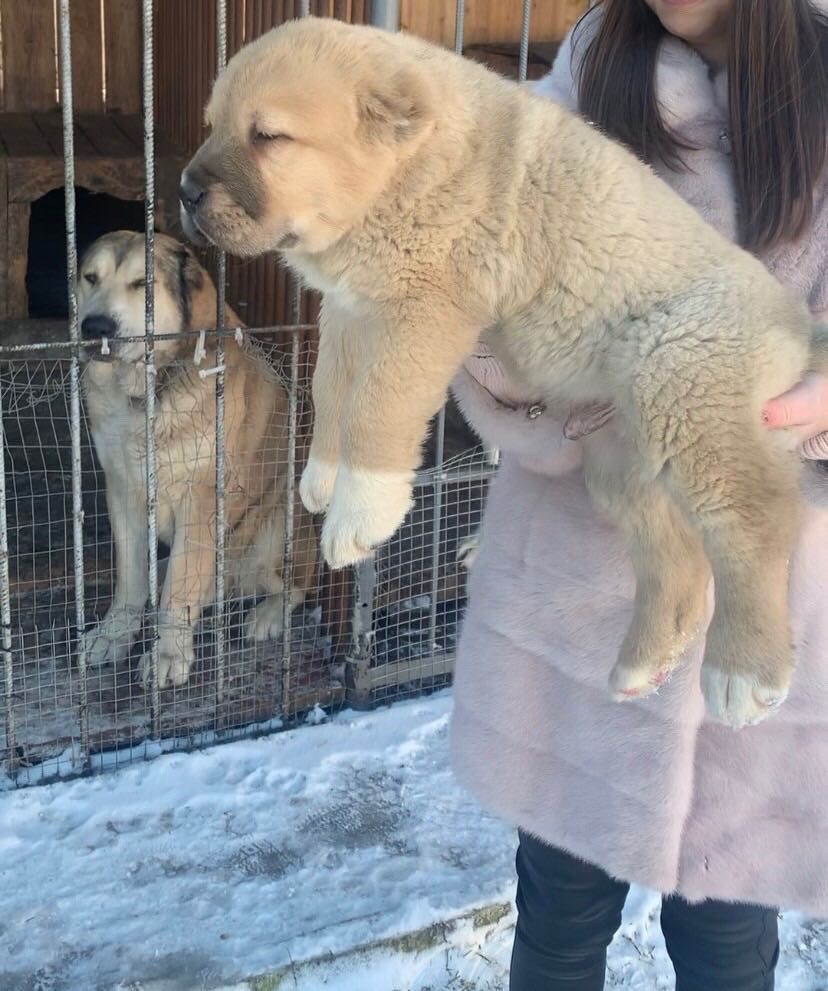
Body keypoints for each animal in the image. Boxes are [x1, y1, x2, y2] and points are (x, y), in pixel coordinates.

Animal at [77, 231, 316, 688]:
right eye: (89, 278)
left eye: (142, 284)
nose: (94, 327)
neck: (145, 395)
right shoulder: (122, 489)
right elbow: (130, 579)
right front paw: (115, 634)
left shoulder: (201, 499)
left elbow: (182, 586)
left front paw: (168, 654)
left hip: (272, 530)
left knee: (294, 584)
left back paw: (266, 616)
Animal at [180, 15, 828, 728]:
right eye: (212, 124)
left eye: (268, 136)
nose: (183, 192)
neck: (407, 177)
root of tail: (796, 328)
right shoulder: (351, 308)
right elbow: (330, 389)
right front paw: (322, 476)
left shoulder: (426, 311)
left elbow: (377, 405)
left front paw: (361, 515)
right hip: (624, 460)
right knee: (679, 559)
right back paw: (641, 667)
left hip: (686, 384)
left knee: (755, 523)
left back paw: (743, 674)